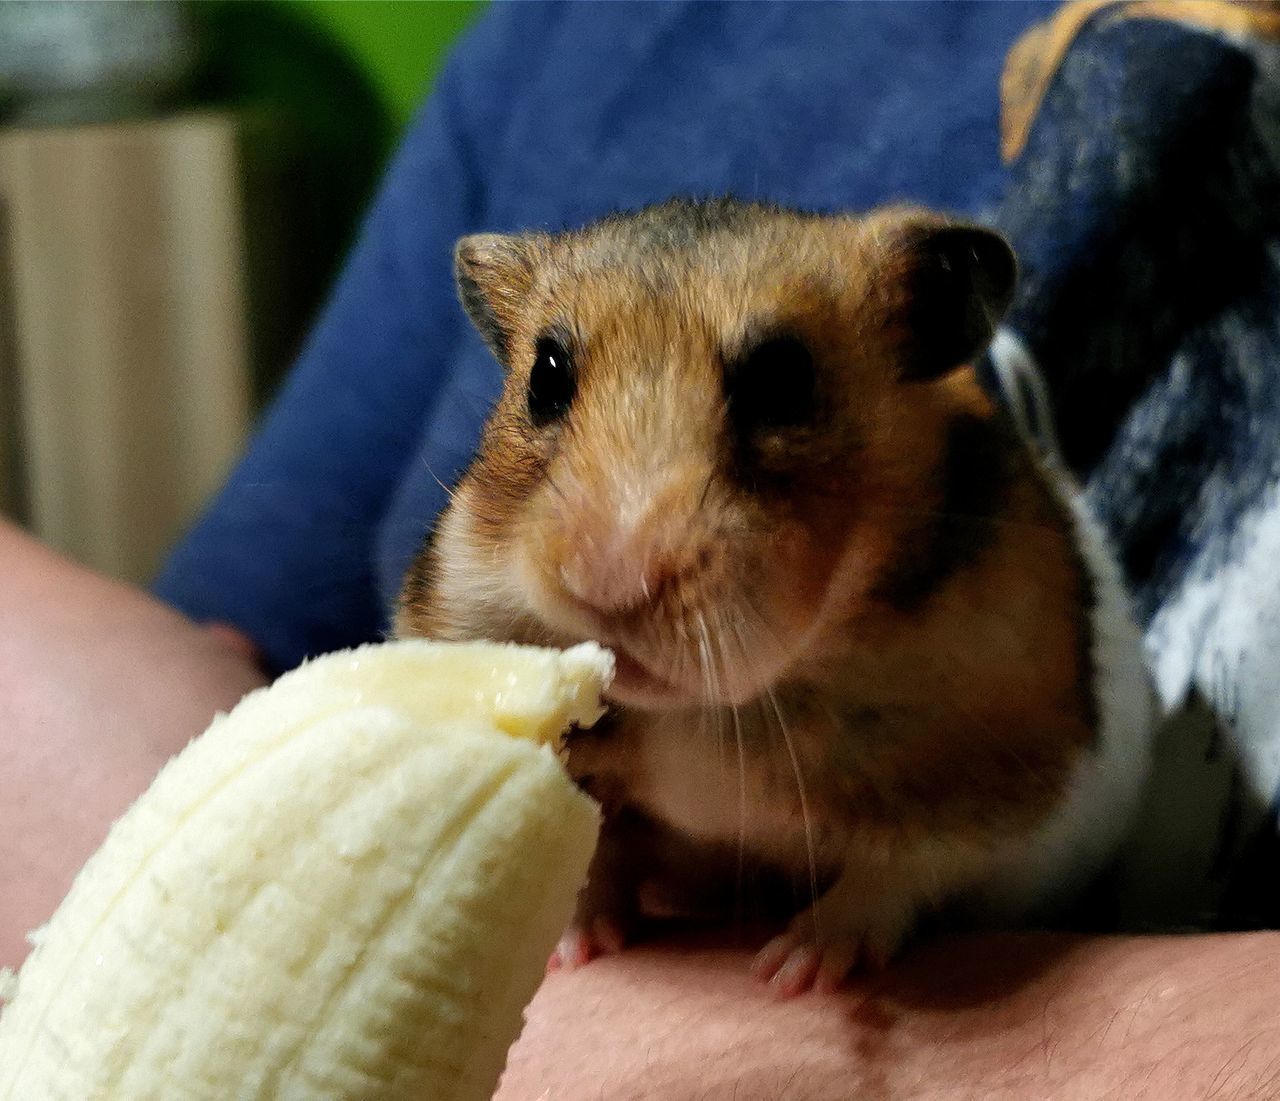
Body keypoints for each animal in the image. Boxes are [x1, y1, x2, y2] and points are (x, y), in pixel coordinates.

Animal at [394, 199, 1157, 998]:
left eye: (783, 379)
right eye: (546, 376)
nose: (607, 588)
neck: (704, 712)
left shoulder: (992, 787)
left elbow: (895, 874)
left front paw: (794, 970)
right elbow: (595, 857)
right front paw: (571, 949)